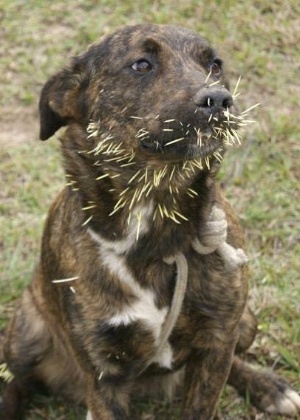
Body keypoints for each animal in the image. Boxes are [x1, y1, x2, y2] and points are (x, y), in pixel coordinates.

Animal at [0, 23, 300, 420]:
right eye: (141, 65)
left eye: (215, 65)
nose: (220, 99)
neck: (155, 217)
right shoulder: (104, 375)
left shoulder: (217, 342)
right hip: (25, 335)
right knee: (15, 380)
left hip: (245, 321)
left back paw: (270, 387)